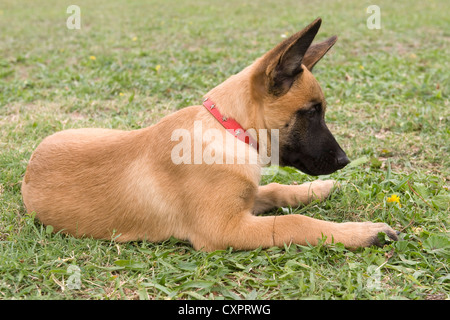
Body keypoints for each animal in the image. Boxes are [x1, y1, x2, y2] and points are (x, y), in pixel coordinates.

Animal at [22, 17, 400, 251]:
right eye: (311, 113)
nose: (344, 160)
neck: (227, 129)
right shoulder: (226, 229)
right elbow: (296, 223)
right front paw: (362, 231)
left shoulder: (244, 202)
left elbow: (275, 189)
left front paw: (315, 190)